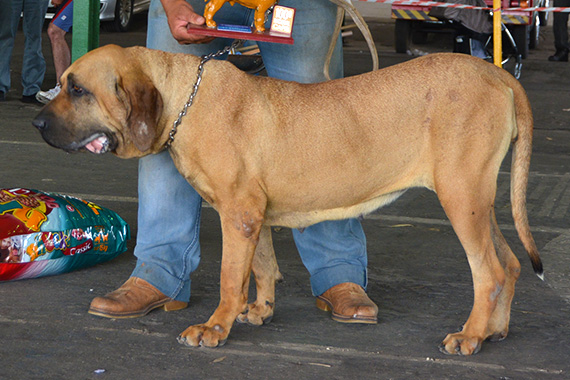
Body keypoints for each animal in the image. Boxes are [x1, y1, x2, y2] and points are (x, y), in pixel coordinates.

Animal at [34, 45, 540, 356]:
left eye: (78, 89)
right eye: (62, 84)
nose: (37, 123)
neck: (183, 100)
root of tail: (495, 71)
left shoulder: (238, 212)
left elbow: (230, 278)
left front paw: (215, 328)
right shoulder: (250, 213)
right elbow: (261, 266)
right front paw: (258, 310)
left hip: (461, 195)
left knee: (490, 273)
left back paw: (470, 336)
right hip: (477, 200)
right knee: (511, 264)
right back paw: (495, 330)